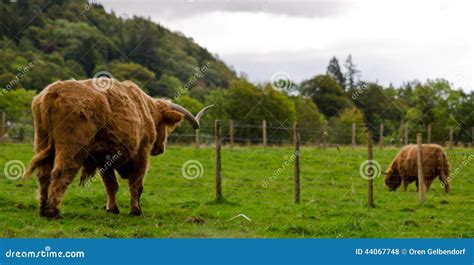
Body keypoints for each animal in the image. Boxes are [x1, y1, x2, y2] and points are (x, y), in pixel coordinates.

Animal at [24, 78, 213, 217]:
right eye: (163, 125)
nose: (161, 148)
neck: (146, 109)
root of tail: (53, 92)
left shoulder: (104, 159)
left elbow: (111, 185)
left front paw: (112, 208)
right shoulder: (141, 154)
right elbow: (136, 184)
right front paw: (136, 210)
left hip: (42, 140)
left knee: (43, 174)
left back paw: (42, 209)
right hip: (72, 148)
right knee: (61, 172)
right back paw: (53, 212)